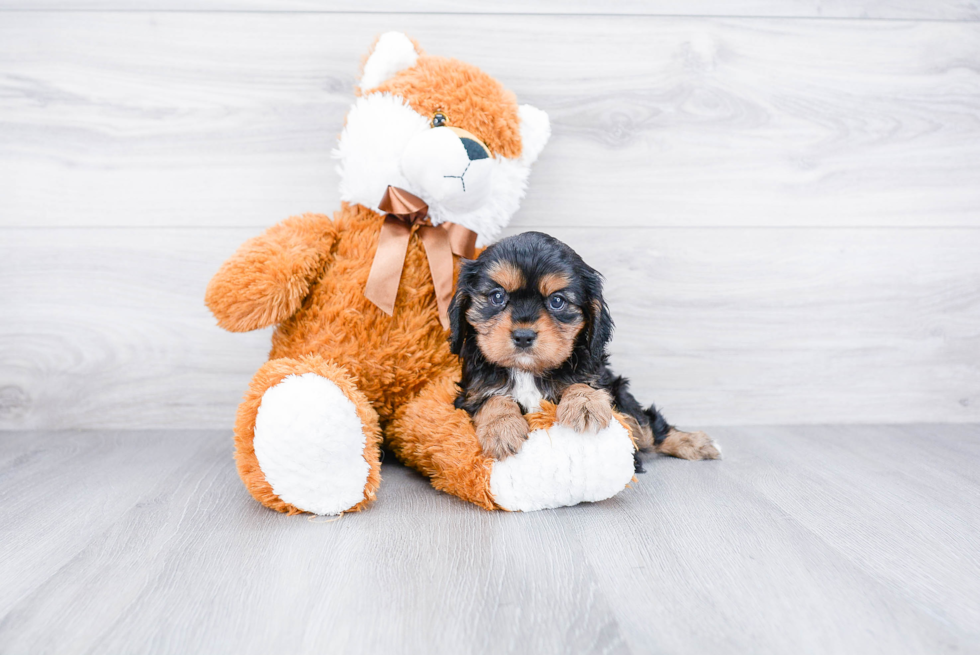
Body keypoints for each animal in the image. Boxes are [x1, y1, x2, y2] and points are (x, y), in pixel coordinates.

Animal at [446, 231, 720, 466]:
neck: (527, 371)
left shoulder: (597, 374)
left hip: (624, 400)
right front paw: (501, 429)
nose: (523, 336)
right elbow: (492, 399)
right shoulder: (470, 393)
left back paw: (696, 443)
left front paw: (585, 405)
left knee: (649, 429)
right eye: (497, 296)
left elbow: (582, 382)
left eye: (557, 301)